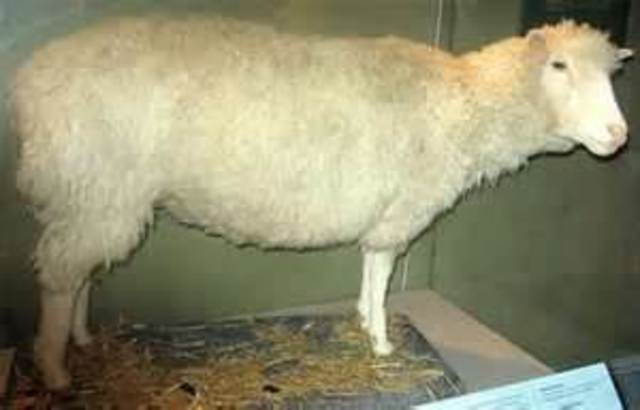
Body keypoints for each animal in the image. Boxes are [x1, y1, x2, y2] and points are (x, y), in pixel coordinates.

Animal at [10, 15, 632, 390]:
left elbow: (369, 272)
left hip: (93, 196)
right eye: (558, 66)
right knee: (59, 279)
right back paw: (54, 368)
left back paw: (82, 341)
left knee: (81, 273)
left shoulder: (384, 213)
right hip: (96, 183)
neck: (462, 105)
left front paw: (363, 324)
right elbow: (382, 276)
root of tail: (30, 78)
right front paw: (381, 343)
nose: (619, 135)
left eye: (610, 76)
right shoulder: (401, 208)